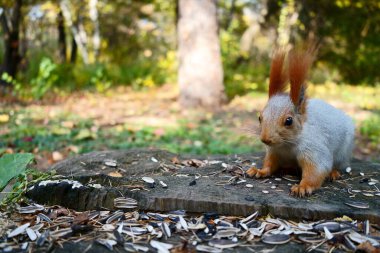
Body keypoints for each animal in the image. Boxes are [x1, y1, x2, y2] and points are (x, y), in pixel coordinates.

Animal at [246, 46, 356, 198]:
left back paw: (334, 172)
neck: (287, 145)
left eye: (289, 121)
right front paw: (259, 171)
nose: (265, 139)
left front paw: (302, 187)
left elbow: (317, 169)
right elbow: (270, 163)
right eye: (259, 118)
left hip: (343, 153)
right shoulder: (274, 151)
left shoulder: (314, 149)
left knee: (338, 164)